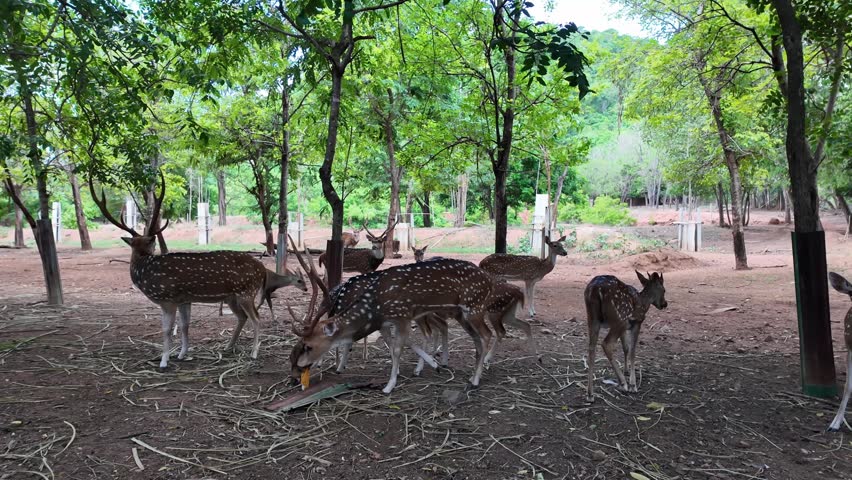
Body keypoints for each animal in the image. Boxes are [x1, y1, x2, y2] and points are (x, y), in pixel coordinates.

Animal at [89, 172, 307, 370]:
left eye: (151, 244)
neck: (146, 271)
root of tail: (262, 269)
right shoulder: (184, 299)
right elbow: (185, 325)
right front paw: (182, 354)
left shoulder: (167, 299)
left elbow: (167, 329)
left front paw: (164, 361)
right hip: (233, 296)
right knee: (243, 317)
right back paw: (229, 347)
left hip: (246, 292)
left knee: (256, 318)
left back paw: (253, 353)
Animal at [290, 258, 496, 394]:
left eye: (308, 346)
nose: (295, 374)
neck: (375, 308)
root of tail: (489, 280)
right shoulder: (385, 323)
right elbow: (393, 346)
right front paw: (428, 365)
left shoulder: (402, 316)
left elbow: (397, 349)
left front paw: (389, 386)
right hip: (460, 314)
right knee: (473, 338)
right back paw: (467, 374)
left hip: (474, 306)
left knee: (486, 334)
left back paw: (475, 380)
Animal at [584, 271, 667, 403]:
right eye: (664, 290)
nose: (664, 304)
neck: (644, 303)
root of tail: (595, 290)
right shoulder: (636, 323)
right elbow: (633, 350)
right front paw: (633, 384)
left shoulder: (625, 328)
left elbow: (626, 348)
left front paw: (626, 370)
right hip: (619, 318)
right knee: (606, 343)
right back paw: (623, 383)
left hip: (592, 318)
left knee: (591, 347)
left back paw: (590, 394)